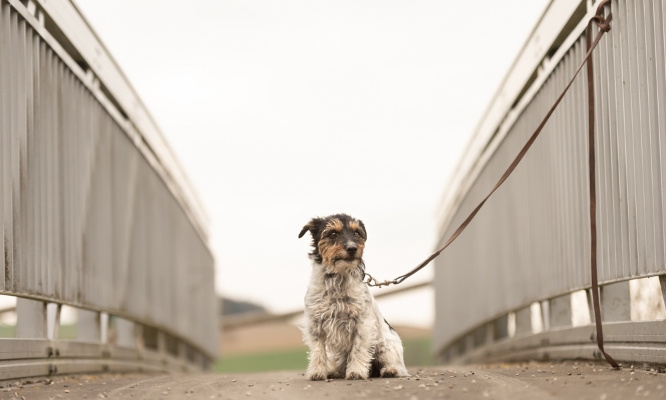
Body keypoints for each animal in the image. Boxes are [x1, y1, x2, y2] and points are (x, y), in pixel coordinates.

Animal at [298, 214, 408, 380]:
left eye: (357, 233)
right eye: (333, 234)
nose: (352, 248)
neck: (337, 280)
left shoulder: (363, 323)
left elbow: (358, 349)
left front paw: (356, 371)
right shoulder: (315, 323)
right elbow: (318, 350)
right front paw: (318, 372)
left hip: (385, 346)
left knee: (397, 366)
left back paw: (390, 370)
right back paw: (333, 371)